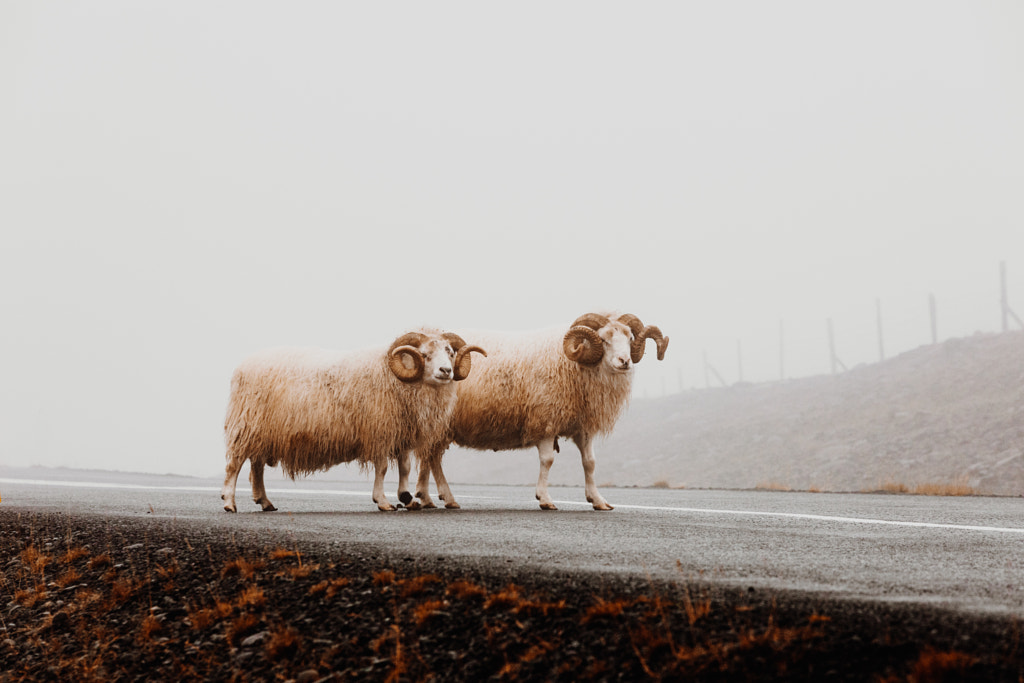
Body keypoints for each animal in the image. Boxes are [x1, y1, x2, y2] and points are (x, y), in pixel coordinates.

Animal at [217, 329, 487, 511]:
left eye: (449, 352)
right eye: (424, 354)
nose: (446, 371)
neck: (396, 379)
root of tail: (242, 367)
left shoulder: (400, 432)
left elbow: (405, 467)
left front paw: (406, 497)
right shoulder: (379, 431)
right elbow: (382, 467)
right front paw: (383, 501)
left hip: (264, 434)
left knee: (256, 467)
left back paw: (265, 502)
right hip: (246, 426)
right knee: (235, 465)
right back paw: (229, 502)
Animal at [411, 313, 667, 509]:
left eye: (630, 338)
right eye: (604, 340)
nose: (625, 361)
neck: (574, 364)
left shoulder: (582, 427)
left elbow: (590, 462)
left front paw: (598, 500)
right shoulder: (546, 420)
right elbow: (548, 460)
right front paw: (545, 499)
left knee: (430, 458)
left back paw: (430, 499)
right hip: (438, 422)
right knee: (431, 458)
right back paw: (439, 497)